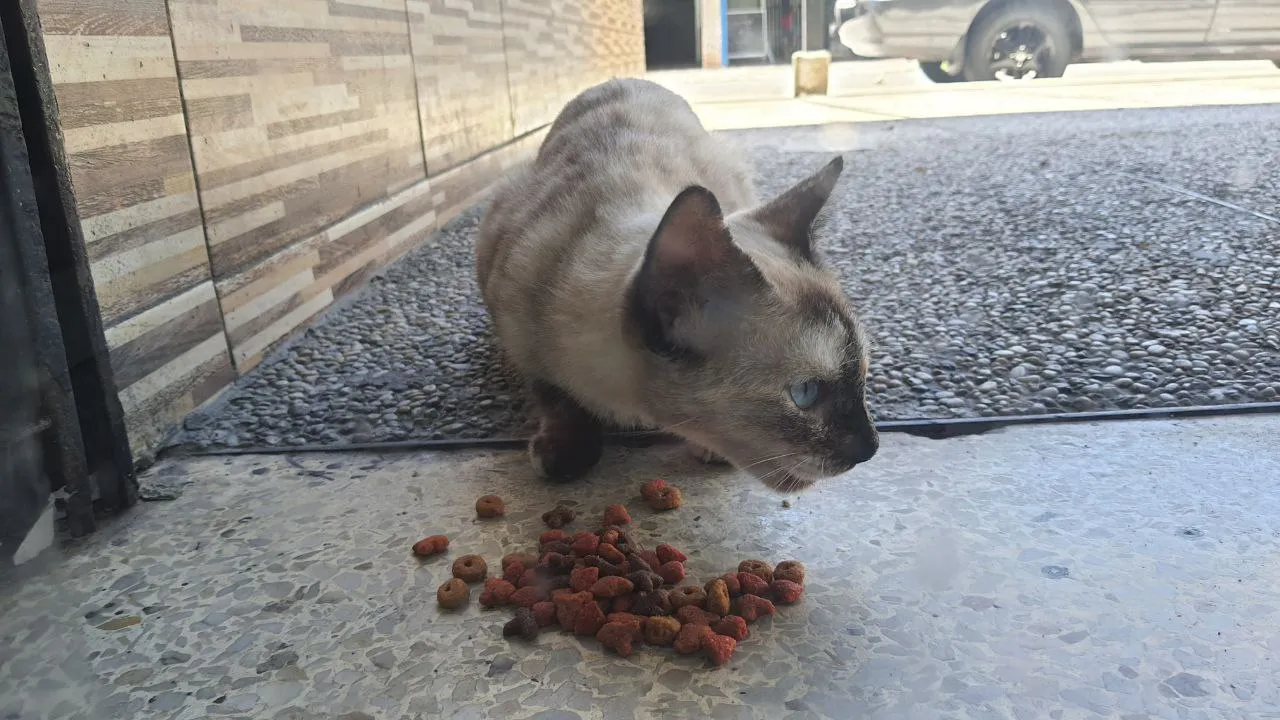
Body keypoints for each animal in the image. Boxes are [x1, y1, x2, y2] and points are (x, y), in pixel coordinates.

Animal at [476, 79, 875, 491]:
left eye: (864, 375)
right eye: (805, 394)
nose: (870, 450)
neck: (629, 408)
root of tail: (626, 79)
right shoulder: (521, 341)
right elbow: (559, 399)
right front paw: (564, 454)